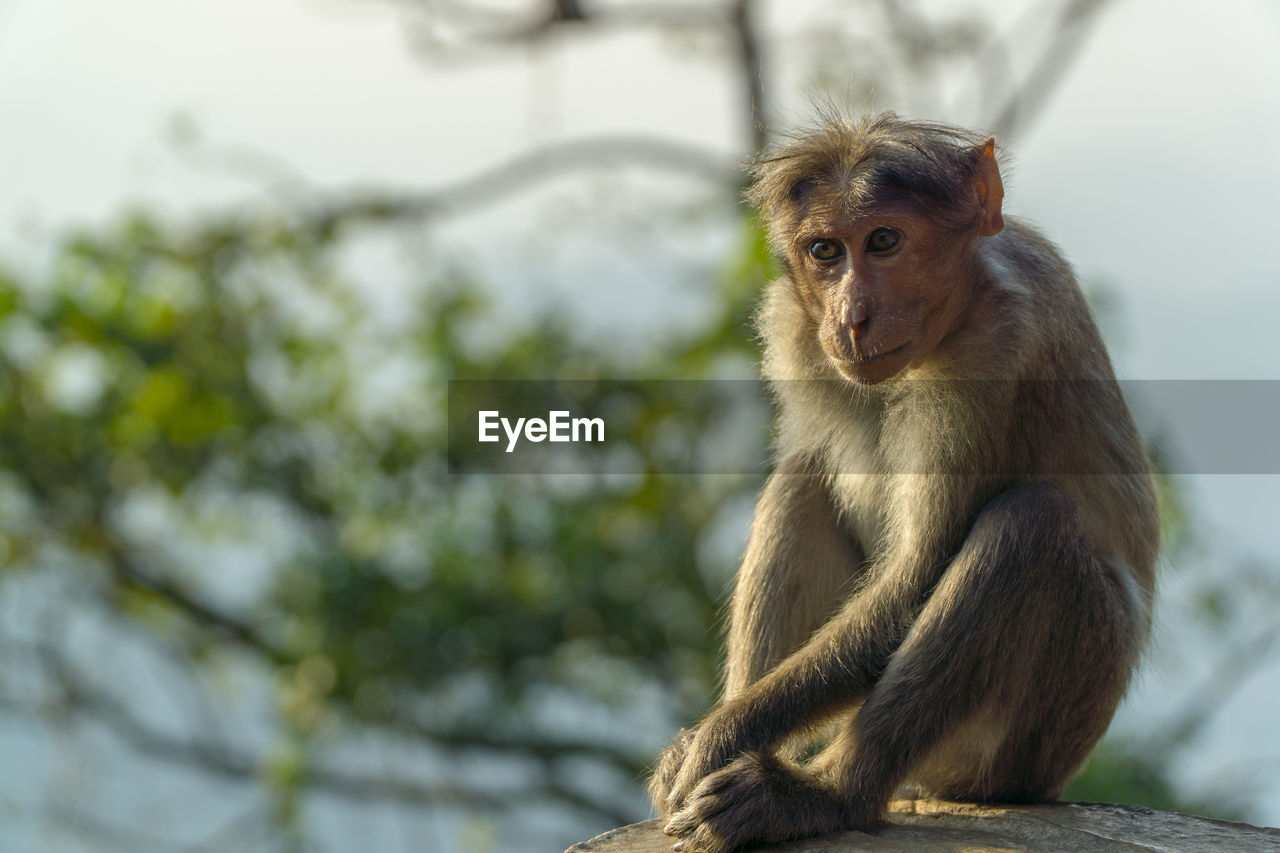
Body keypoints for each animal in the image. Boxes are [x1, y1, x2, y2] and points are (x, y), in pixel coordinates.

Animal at [650, 114, 1162, 850]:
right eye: (826, 251)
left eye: (885, 240)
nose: (851, 317)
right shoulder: (792, 330)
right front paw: (704, 747)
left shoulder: (996, 346)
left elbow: (919, 572)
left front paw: (720, 737)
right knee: (804, 479)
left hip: (1044, 724)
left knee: (1030, 525)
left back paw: (826, 795)